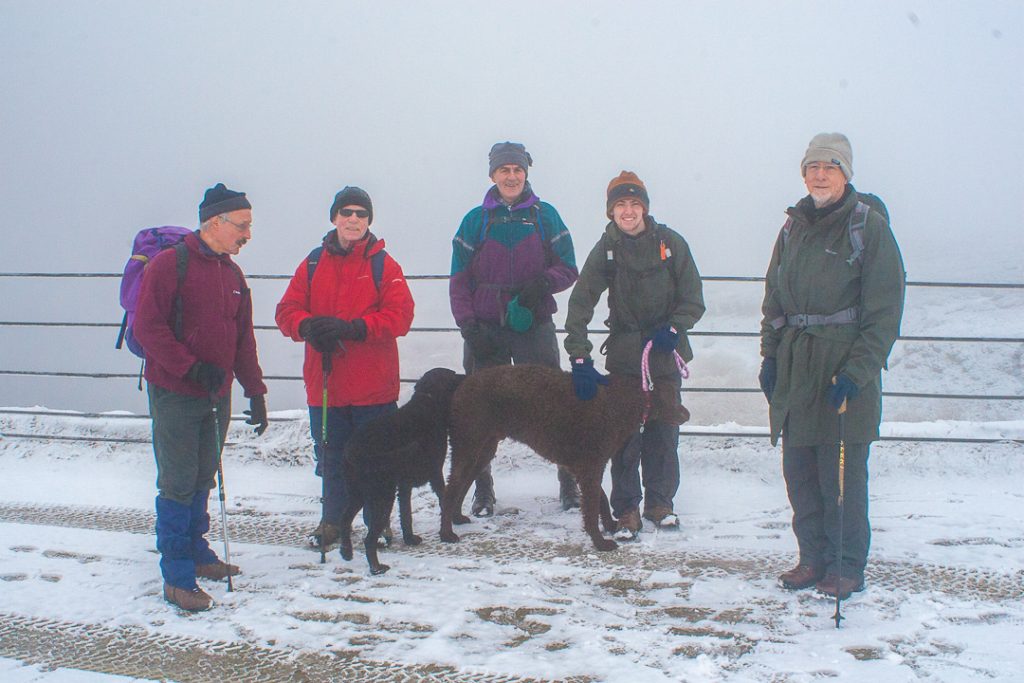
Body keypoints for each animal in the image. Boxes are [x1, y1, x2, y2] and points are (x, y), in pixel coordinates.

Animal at [338, 367, 464, 574]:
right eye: (453, 375)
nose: (467, 375)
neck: (429, 402)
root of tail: (352, 449)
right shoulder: (435, 472)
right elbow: (444, 500)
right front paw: (449, 533)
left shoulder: (404, 484)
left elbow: (406, 513)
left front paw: (410, 539)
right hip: (382, 495)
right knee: (369, 539)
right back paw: (376, 568)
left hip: (358, 493)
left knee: (344, 519)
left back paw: (346, 552)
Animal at [440, 364, 689, 552]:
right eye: (673, 398)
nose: (687, 414)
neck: (619, 402)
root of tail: (462, 384)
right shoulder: (591, 466)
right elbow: (591, 508)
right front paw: (600, 542)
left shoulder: (587, 466)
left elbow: (601, 500)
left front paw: (610, 525)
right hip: (469, 444)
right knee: (451, 489)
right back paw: (446, 533)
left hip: (483, 449)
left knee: (461, 484)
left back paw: (457, 519)